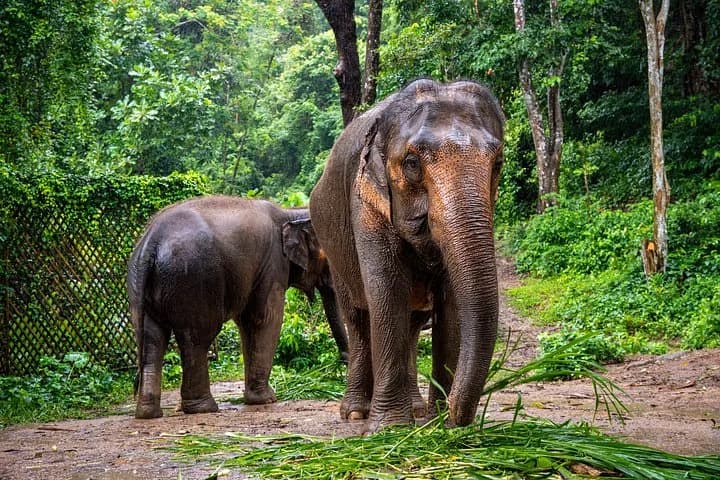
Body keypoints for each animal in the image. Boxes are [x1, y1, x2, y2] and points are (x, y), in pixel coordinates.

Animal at [127, 195, 348, 419]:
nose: (342, 367)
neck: (292, 212)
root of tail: (151, 242)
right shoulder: (273, 265)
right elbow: (264, 318)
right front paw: (267, 399)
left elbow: (246, 322)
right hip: (193, 281)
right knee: (196, 339)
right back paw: (204, 408)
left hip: (144, 285)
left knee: (152, 339)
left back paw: (148, 413)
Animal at [309, 79, 505, 432]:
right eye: (412, 164)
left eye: (498, 164)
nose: (457, 417)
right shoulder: (366, 205)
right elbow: (388, 294)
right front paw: (389, 429)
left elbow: (450, 306)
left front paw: (436, 422)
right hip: (333, 249)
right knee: (357, 319)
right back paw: (356, 413)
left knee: (414, 323)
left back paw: (415, 409)